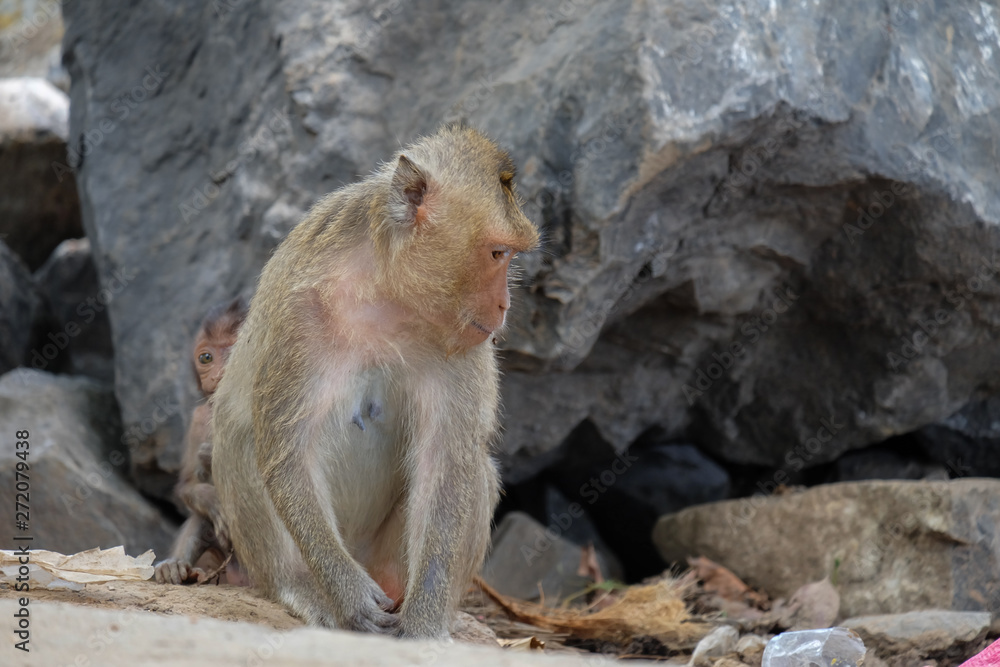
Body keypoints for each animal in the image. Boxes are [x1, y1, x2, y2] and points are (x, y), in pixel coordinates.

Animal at [157, 298, 252, 584]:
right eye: (206, 358)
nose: (220, 375)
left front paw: (216, 456)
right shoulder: (199, 418)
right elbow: (189, 484)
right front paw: (210, 497)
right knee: (201, 518)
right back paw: (175, 567)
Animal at [212, 122, 540, 640]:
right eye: (497, 253)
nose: (504, 304)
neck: (388, 293)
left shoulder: (465, 346)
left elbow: (445, 460)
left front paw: (425, 624)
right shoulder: (301, 314)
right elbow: (289, 453)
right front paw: (346, 592)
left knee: (477, 470)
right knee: (245, 444)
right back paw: (303, 586)